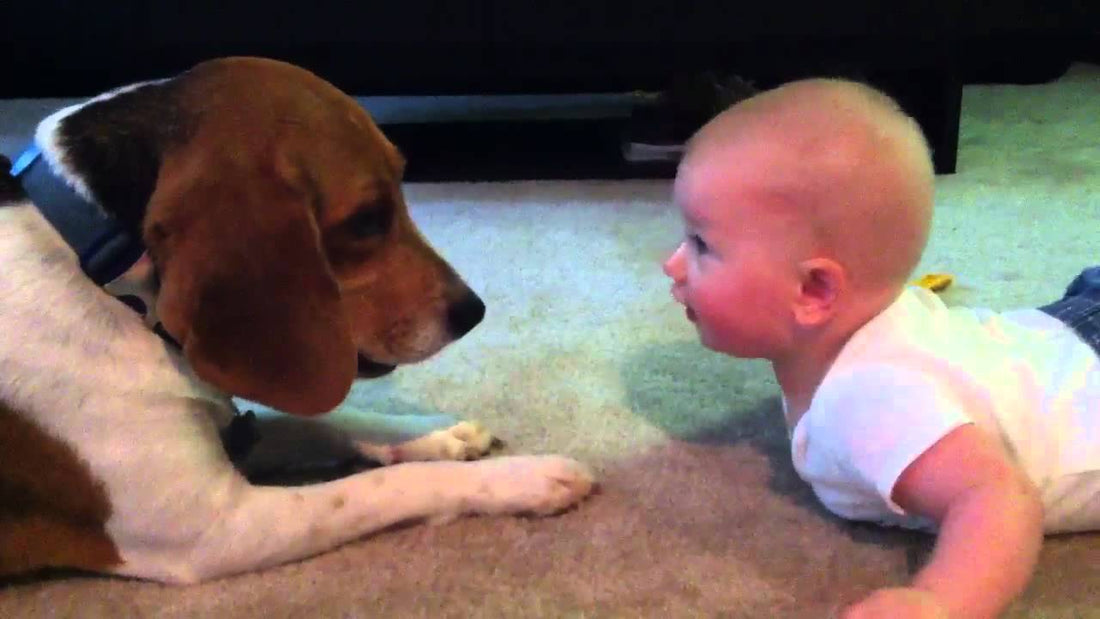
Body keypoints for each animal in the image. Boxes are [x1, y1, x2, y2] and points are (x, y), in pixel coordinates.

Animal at [0, 55, 598, 584]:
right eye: (365, 221)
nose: (473, 312)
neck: (104, 278)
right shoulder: (218, 530)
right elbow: (388, 486)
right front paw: (523, 477)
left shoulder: (243, 435)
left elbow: (323, 420)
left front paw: (434, 434)